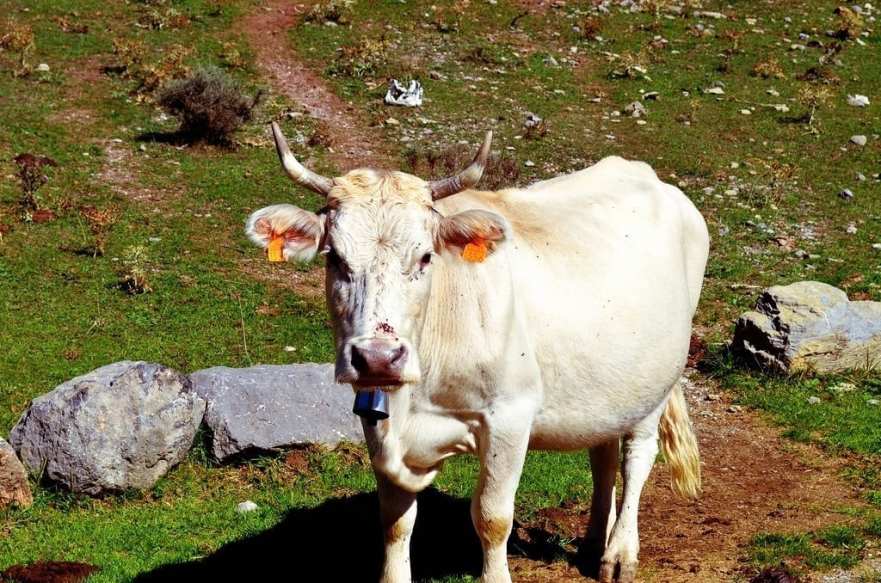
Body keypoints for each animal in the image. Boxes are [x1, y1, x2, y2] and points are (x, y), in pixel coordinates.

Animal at [246, 122, 709, 583]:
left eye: (425, 257)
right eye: (335, 258)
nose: (377, 357)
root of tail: (643, 173)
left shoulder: (510, 417)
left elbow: (492, 517)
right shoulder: (375, 419)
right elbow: (395, 521)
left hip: (655, 383)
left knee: (636, 457)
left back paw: (619, 553)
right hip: (609, 387)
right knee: (604, 454)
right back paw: (596, 540)